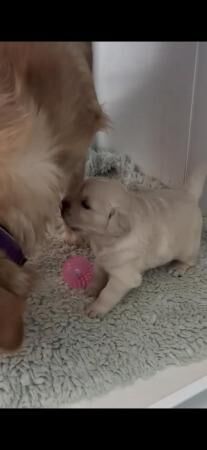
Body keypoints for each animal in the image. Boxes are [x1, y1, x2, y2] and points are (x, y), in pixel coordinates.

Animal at [62, 165, 207, 316]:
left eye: (85, 205)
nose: (62, 203)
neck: (106, 240)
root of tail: (189, 195)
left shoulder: (123, 277)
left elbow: (107, 294)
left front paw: (95, 308)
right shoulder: (101, 259)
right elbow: (98, 274)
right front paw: (92, 289)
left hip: (188, 247)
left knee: (191, 261)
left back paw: (179, 267)